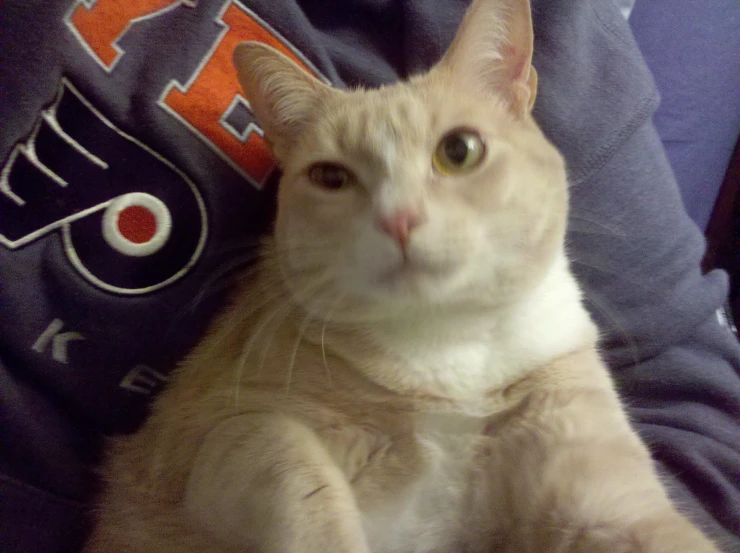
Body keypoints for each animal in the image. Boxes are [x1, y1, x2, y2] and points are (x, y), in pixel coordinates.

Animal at [82, 1, 724, 552]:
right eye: (331, 177)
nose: (398, 218)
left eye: (459, 151)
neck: (448, 351)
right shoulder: (224, 438)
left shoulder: (593, 472)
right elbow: (301, 481)